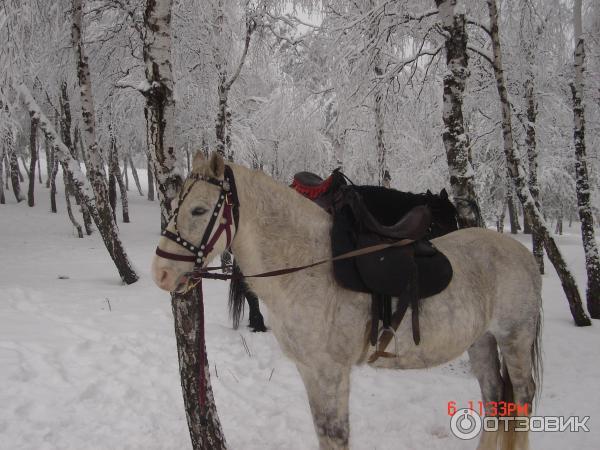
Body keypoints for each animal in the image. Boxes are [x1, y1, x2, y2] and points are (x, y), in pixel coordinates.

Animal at [152, 152, 540, 450]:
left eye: (199, 210)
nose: (161, 273)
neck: (308, 264)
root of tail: (524, 255)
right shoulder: (311, 371)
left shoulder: (330, 372)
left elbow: (335, 436)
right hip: (482, 341)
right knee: (494, 401)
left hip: (515, 340)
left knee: (521, 400)